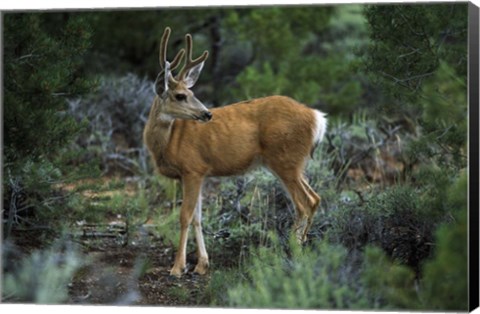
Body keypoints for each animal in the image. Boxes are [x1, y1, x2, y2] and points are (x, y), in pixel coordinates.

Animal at [144, 27, 328, 278]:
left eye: (190, 93)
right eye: (181, 95)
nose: (207, 114)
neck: (168, 142)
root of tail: (317, 118)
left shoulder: (192, 168)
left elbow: (185, 216)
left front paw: (177, 267)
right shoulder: (197, 174)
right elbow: (198, 218)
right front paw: (202, 265)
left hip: (285, 160)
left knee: (304, 203)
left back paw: (293, 253)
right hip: (295, 164)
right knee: (315, 198)